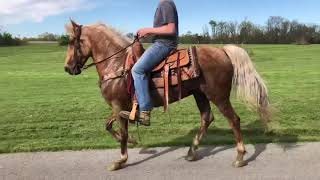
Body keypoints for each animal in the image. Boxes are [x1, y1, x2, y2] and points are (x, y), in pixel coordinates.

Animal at [64, 20, 270, 171]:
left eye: (72, 42)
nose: (67, 68)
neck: (116, 64)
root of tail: (222, 51)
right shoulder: (121, 107)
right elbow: (108, 125)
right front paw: (133, 141)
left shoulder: (117, 105)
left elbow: (122, 132)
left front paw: (121, 160)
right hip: (200, 94)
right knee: (207, 117)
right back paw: (192, 151)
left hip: (218, 96)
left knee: (233, 120)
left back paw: (240, 156)